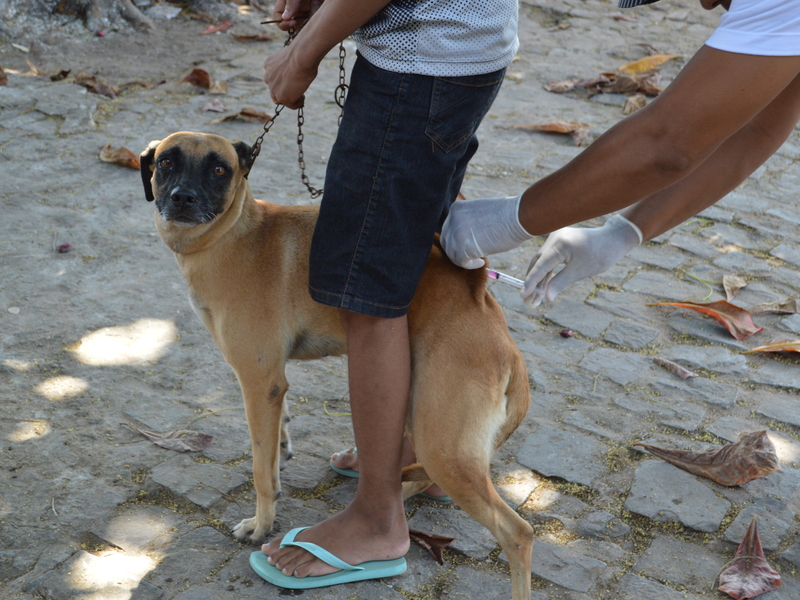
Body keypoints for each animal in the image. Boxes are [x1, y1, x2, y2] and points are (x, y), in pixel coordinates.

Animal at [141, 132, 536, 600]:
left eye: (219, 169)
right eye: (166, 162)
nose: (182, 198)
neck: (235, 234)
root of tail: (493, 322)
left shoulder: (257, 383)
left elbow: (260, 471)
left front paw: (261, 525)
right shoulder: (274, 387)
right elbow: (275, 445)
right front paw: (281, 457)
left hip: (443, 446)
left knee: (517, 532)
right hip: (423, 417)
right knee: (416, 477)